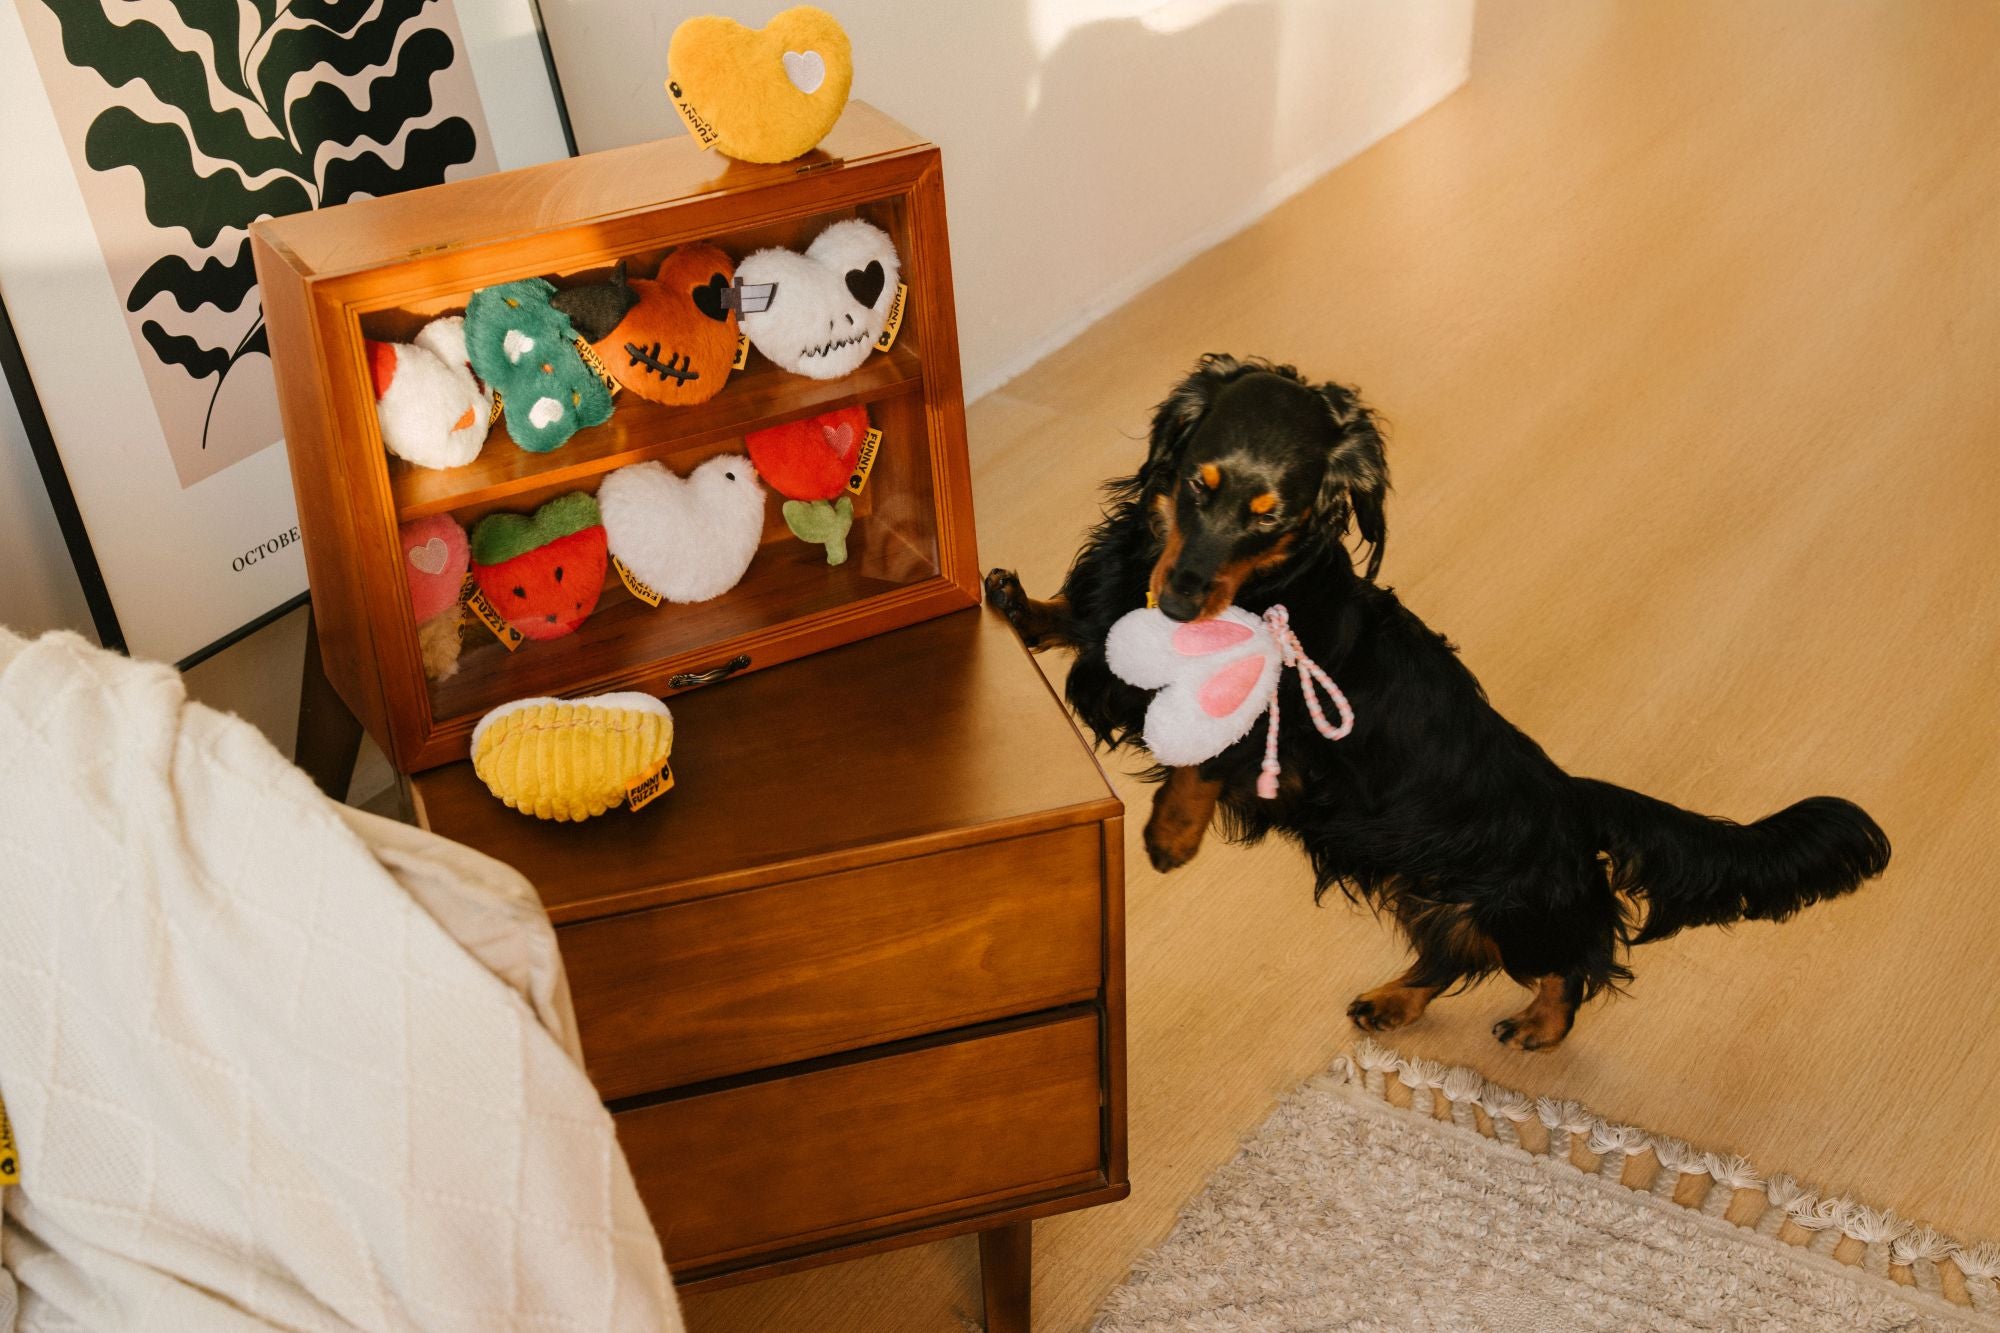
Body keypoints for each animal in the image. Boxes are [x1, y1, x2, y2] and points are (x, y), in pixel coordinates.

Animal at [985, 353, 1890, 1049]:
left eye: (1268, 517)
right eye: (1196, 482)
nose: (1174, 606)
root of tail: (1572, 798)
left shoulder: (1272, 731)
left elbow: (1207, 760)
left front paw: (1171, 837)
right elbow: (1076, 618)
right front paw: (1017, 602)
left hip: (1519, 907)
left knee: (1579, 955)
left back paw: (1542, 1024)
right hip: (1429, 886)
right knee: (1454, 954)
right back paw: (1393, 1000)